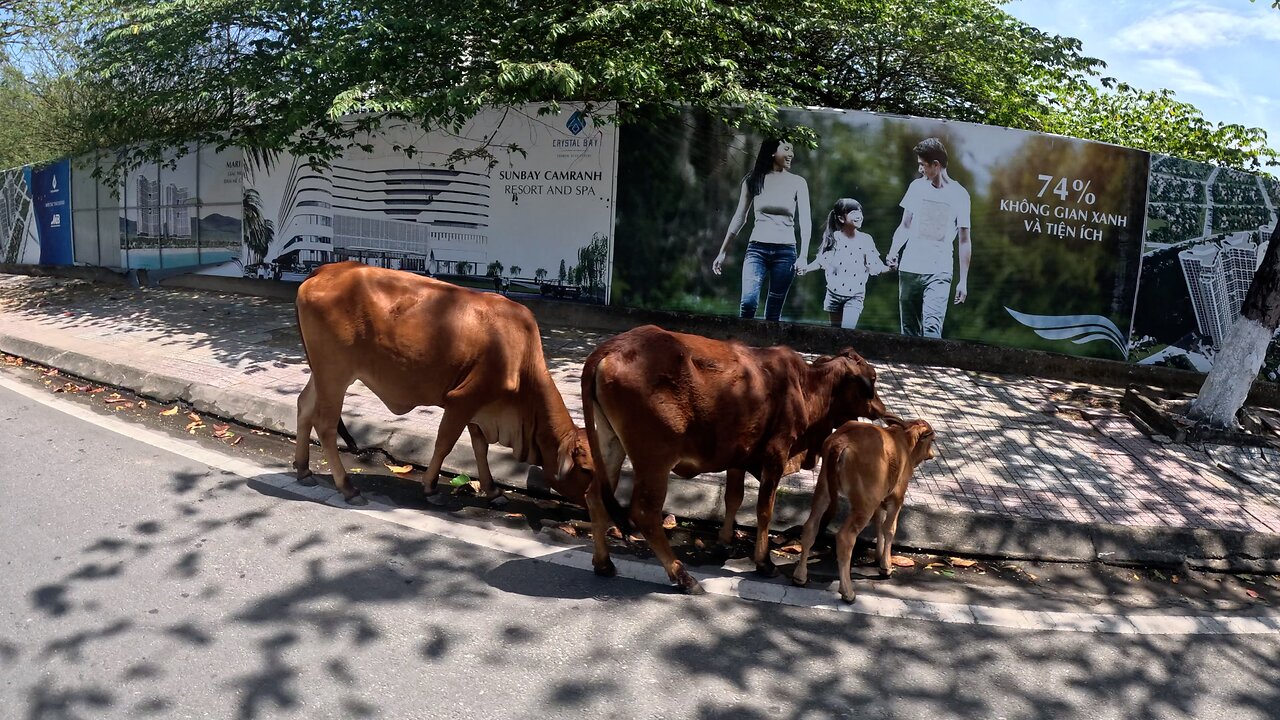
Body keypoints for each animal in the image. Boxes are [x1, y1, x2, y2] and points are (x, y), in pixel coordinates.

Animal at [293, 260, 609, 507]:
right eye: (586, 470)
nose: (603, 505)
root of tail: (325, 270)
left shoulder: (480, 406)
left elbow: (480, 447)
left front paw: (492, 490)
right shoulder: (463, 399)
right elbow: (445, 442)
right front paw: (430, 486)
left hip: (322, 373)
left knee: (304, 406)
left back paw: (304, 471)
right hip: (335, 373)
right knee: (325, 424)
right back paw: (347, 487)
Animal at [583, 322, 890, 591]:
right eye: (873, 379)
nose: (881, 408)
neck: (806, 386)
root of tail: (611, 347)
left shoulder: (738, 457)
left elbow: (734, 498)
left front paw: (724, 540)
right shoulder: (776, 453)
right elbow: (764, 510)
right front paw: (764, 562)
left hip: (612, 443)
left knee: (595, 496)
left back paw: (604, 564)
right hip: (655, 458)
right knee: (645, 512)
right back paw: (683, 577)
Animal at [783, 415, 936, 599]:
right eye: (932, 439)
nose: (932, 454)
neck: (904, 443)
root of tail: (841, 442)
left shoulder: (879, 499)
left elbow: (878, 523)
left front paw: (878, 556)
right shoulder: (897, 497)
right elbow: (889, 528)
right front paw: (886, 566)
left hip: (823, 490)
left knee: (810, 527)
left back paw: (800, 576)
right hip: (864, 505)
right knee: (845, 538)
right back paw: (847, 591)